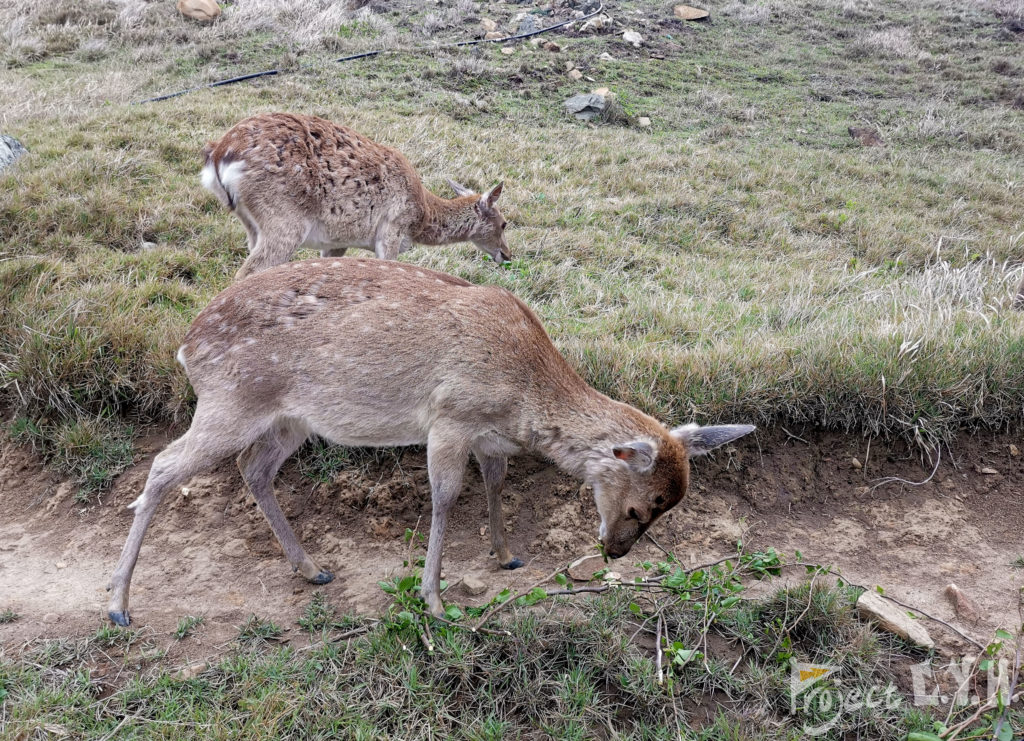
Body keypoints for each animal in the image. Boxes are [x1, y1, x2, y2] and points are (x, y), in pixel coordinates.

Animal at [108, 257, 757, 622]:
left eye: (668, 508)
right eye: (641, 506)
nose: (616, 553)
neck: (524, 394)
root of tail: (186, 347)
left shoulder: (489, 436)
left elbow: (495, 481)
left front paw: (504, 553)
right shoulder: (450, 416)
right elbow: (445, 496)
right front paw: (435, 601)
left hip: (289, 419)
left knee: (253, 469)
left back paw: (312, 569)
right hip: (231, 400)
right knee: (164, 467)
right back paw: (118, 603)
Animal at [201, 111, 509, 278]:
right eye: (505, 223)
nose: (507, 254)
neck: (421, 216)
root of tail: (219, 154)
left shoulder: (337, 240)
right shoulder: (391, 231)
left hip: (251, 224)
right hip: (285, 220)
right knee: (248, 271)